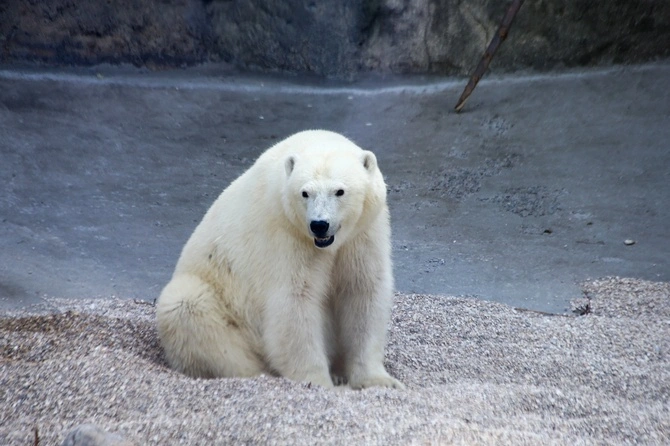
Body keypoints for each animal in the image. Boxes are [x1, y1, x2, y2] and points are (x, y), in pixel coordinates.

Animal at [156, 130, 403, 390]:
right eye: (305, 193)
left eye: (339, 191)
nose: (319, 225)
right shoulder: (287, 236)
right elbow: (294, 300)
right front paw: (318, 382)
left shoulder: (363, 234)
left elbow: (362, 292)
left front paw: (380, 381)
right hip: (219, 302)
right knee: (187, 307)